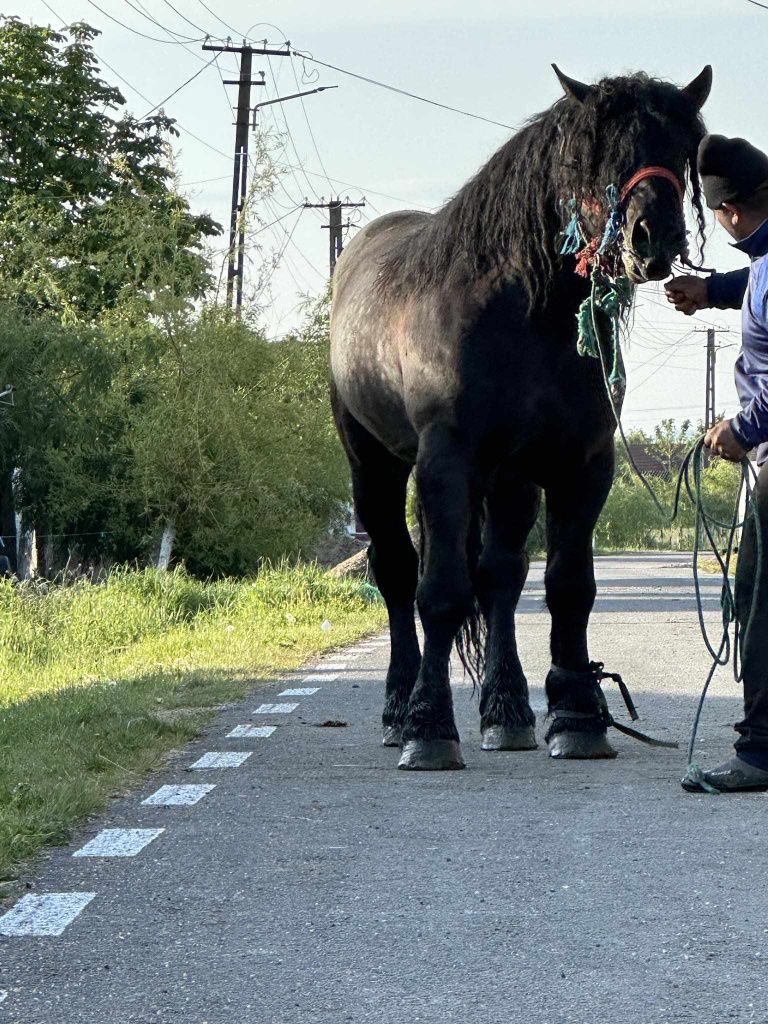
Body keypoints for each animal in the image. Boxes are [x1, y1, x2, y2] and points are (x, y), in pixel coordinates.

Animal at [331, 64, 716, 770]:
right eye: (595, 153)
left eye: (681, 149)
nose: (653, 238)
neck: (524, 315)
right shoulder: (445, 463)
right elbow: (439, 592)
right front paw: (430, 728)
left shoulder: (581, 465)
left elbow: (567, 586)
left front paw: (578, 715)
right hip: (374, 465)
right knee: (398, 573)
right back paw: (400, 710)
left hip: (509, 480)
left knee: (501, 580)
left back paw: (507, 711)